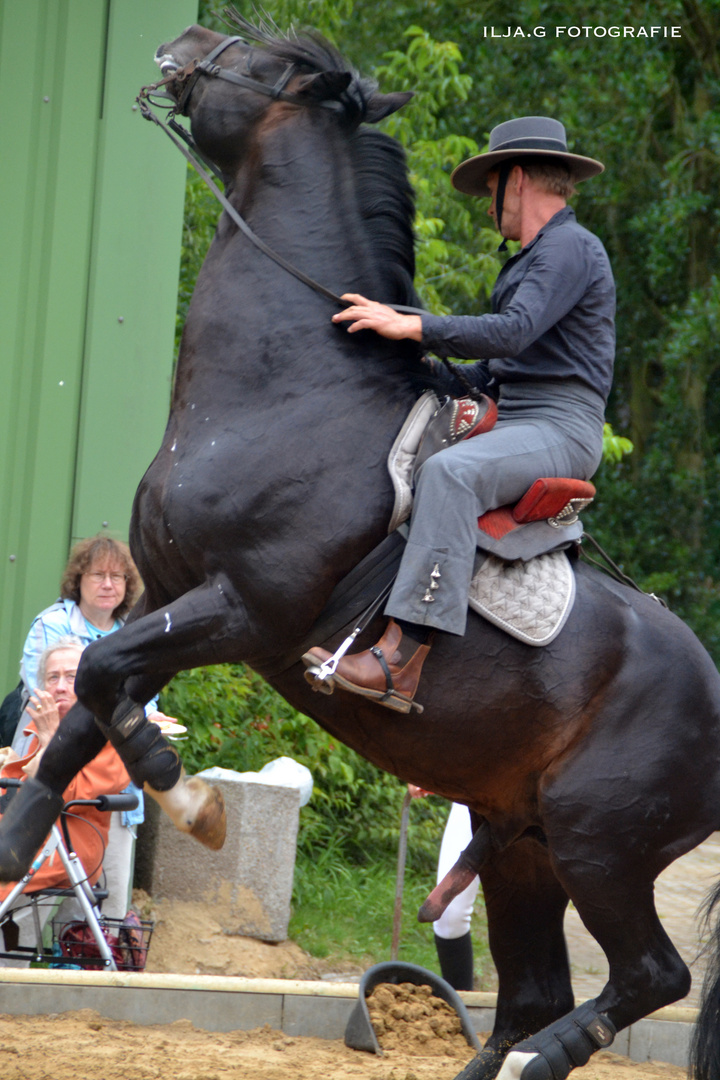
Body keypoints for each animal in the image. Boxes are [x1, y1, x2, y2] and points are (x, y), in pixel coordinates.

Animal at [4, 14, 720, 1080]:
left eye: (265, 63)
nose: (186, 38)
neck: (289, 388)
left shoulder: (244, 611)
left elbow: (102, 684)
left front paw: (191, 802)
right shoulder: (162, 598)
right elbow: (88, 702)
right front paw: (19, 842)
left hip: (600, 844)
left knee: (646, 976)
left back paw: (553, 1054)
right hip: (523, 844)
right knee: (535, 990)